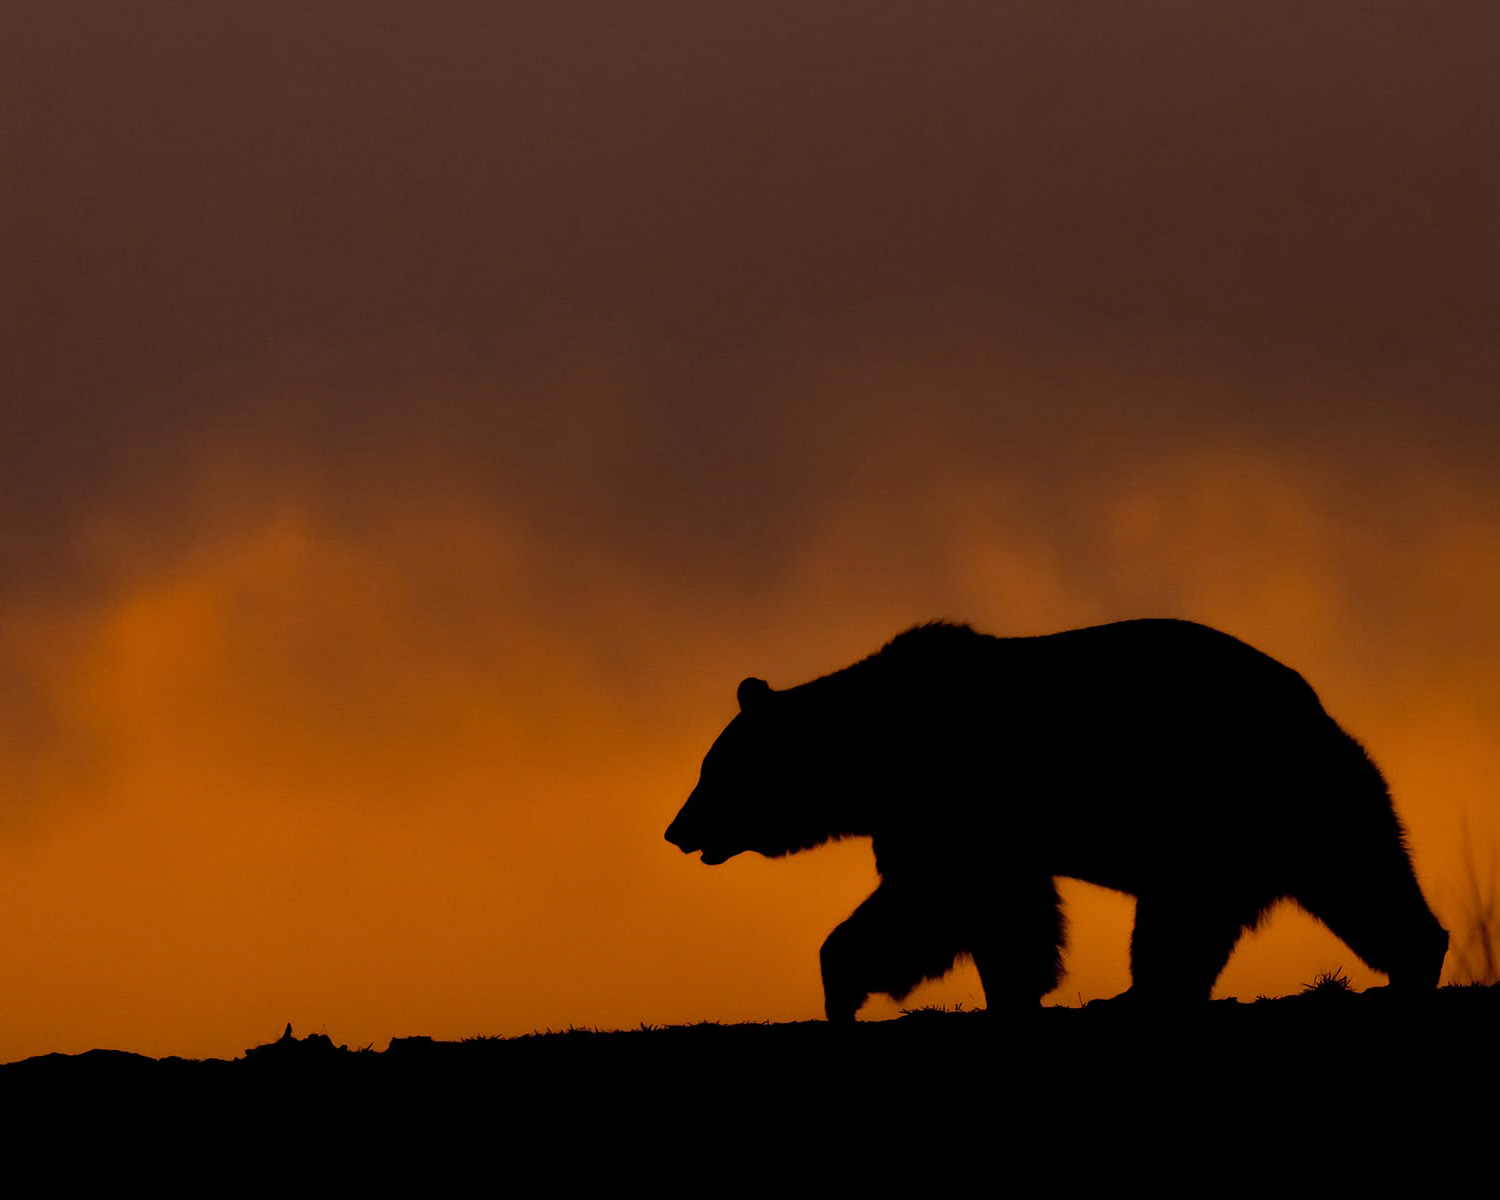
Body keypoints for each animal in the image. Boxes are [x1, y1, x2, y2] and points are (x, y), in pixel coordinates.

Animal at [665, 620, 1449, 1020]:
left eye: (710, 771)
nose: (677, 830)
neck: (874, 755)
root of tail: (1316, 705)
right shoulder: (951, 820)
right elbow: (994, 909)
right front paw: (1012, 988)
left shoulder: (955, 800)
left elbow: (935, 900)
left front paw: (843, 984)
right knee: (1349, 884)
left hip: (1247, 797)